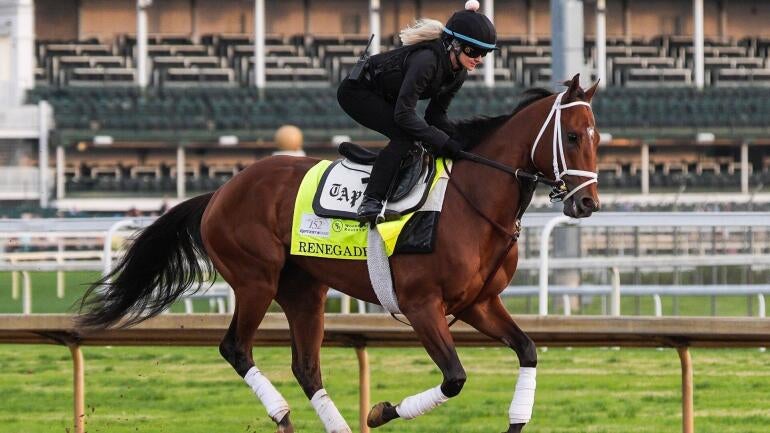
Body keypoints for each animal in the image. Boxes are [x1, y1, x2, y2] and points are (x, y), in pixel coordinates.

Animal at [78, 74, 601, 433]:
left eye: (598, 137)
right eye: (573, 136)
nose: (587, 203)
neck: (468, 201)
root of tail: (221, 191)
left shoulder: (478, 303)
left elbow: (527, 350)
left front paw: (517, 418)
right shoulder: (421, 306)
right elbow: (454, 377)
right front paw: (382, 410)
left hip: (304, 291)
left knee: (307, 367)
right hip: (255, 280)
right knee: (235, 347)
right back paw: (282, 415)